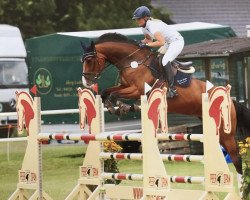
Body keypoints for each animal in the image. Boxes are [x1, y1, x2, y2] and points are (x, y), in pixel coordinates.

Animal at [81, 32, 250, 174]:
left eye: (89, 60)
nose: (87, 81)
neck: (132, 61)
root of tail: (230, 100)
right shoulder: (125, 86)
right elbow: (106, 92)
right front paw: (115, 107)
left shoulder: (136, 89)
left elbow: (114, 94)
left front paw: (122, 107)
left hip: (226, 133)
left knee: (236, 158)